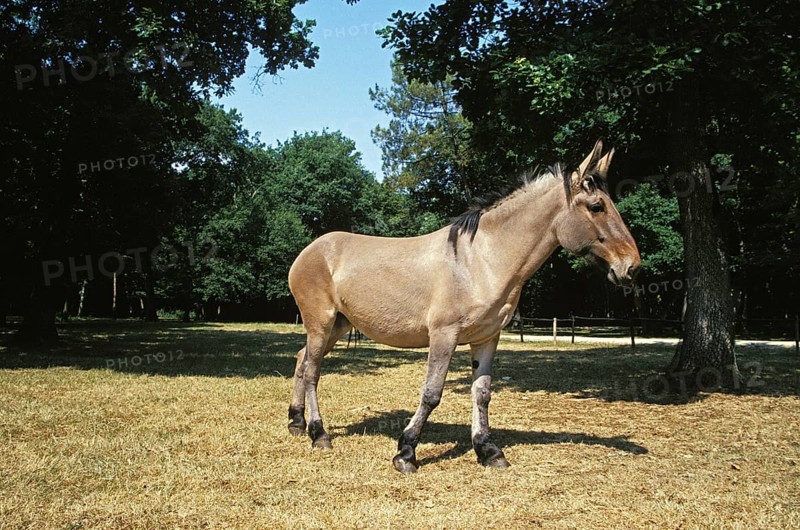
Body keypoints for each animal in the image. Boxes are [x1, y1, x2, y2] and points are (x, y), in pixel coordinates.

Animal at [287, 140, 641, 473]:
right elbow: (432, 393)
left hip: (337, 325)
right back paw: (319, 434)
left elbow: (482, 392)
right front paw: (406, 452)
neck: (481, 260)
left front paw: (488, 451)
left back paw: (296, 422)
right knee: (313, 370)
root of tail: (309, 251)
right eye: (596, 206)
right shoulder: (444, 335)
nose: (632, 267)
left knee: (303, 360)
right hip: (321, 323)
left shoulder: (486, 338)